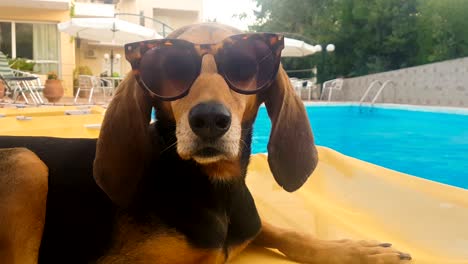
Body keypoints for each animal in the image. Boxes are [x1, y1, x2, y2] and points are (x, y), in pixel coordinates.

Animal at [0, 23, 410, 264]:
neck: (215, 187)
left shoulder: (249, 221)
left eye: (245, 65)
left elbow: (280, 230)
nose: (209, 120)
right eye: (167, 67)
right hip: (26, 161)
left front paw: (354, 251)